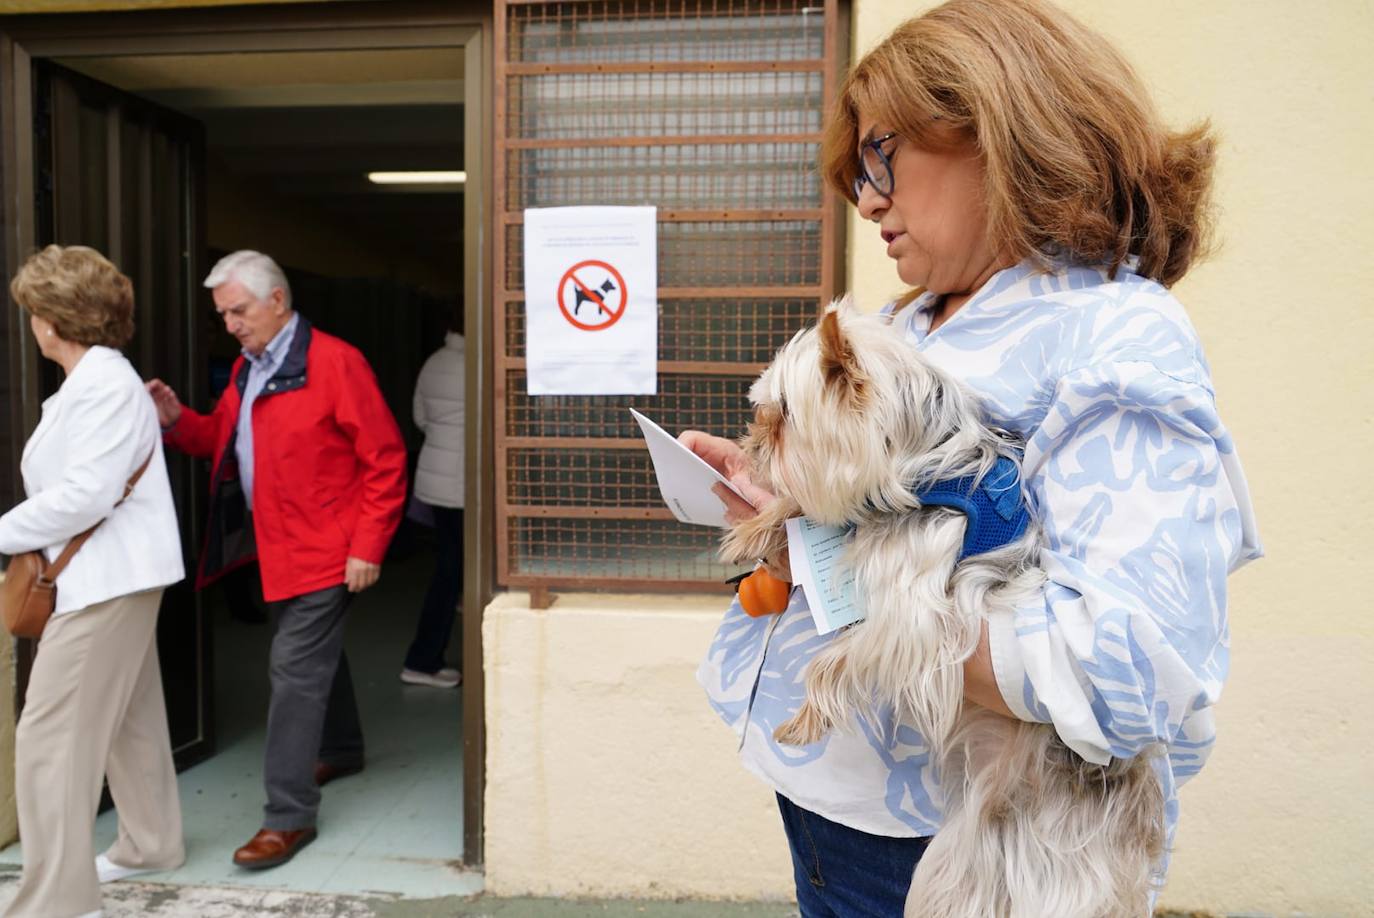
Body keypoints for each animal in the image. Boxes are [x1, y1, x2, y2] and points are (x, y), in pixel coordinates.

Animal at [725, 300, 1165, 918]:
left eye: (784, 413)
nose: (751, 441)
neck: (924, 462)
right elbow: (807, 505)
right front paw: (753, 529)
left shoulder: (915, 614)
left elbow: (838, 657)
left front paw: (805, 718)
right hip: (972, 845)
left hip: (1053, 859)